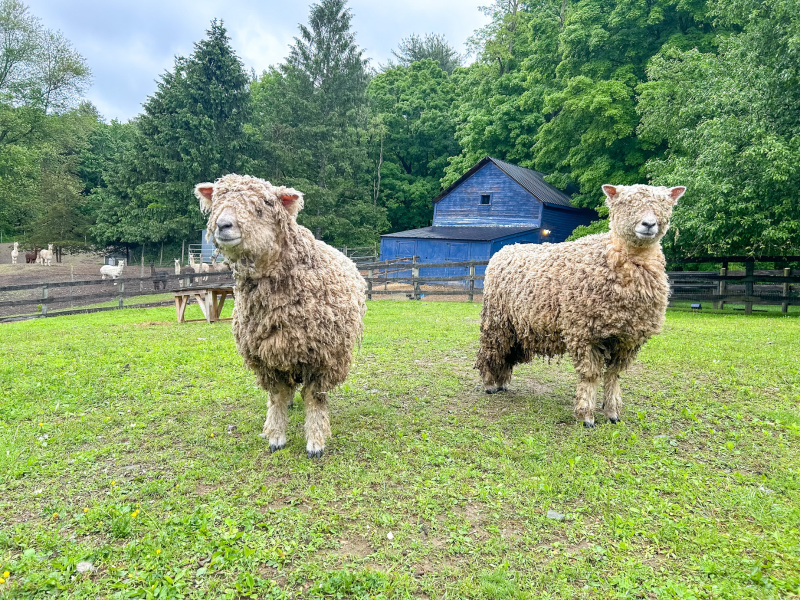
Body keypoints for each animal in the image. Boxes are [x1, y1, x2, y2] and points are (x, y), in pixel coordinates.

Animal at [195, 174, 366, 459]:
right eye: (217, 200)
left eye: (265, 204)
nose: (223, 224)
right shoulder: (266, 358)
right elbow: (276, 397)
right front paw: (276, 436)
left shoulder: (324, 358)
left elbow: (315, 399)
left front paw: (315, 441)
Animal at [475, 183, 686, 428]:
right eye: (624, 202)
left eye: (665, 204)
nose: (649, 224)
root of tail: (506, 249)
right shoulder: (583, 332)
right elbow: (591, 375)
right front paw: (587, 416)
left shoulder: (627, 338)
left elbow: (613, 375)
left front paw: (613, 413)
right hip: (497, 319)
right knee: (492, 350)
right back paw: (490, 384)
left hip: (517, 326)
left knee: (507, 352)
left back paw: (502, 383)